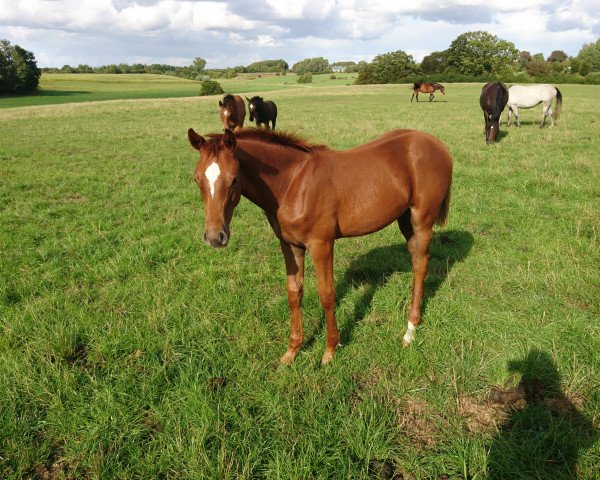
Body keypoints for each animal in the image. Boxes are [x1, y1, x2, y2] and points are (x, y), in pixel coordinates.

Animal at [188, 126, 454, 364]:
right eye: (197, 179)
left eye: (234, 180)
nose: (215, 237)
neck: (292, 184)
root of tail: (437, 144)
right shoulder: (290, 245)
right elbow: (294, 293)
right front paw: (292, 351)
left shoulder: (321, 245)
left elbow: (327, 294)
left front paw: (329, 351)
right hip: (405, 219)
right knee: (417, 259)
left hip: (421, 219)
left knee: (420, 264)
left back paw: (410, 331)